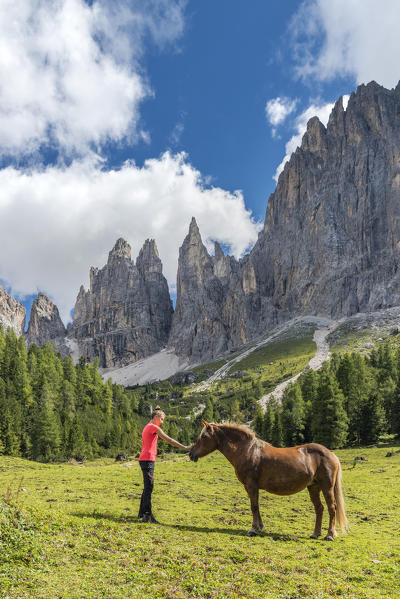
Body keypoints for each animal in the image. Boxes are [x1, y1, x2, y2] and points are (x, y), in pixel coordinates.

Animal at [189, 420, 348, 540]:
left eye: (204, 436)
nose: (191, 454)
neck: (248, 451)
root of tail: (331, 454)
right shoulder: (249, 487)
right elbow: (256, 506)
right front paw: (260, 527)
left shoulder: (251, 485)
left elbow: (253, 506)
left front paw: (253, 529)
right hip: (313, 487)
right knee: (319, 508)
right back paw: (315, 534)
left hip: (327, 487)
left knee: (332, 508)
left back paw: (329, 535)